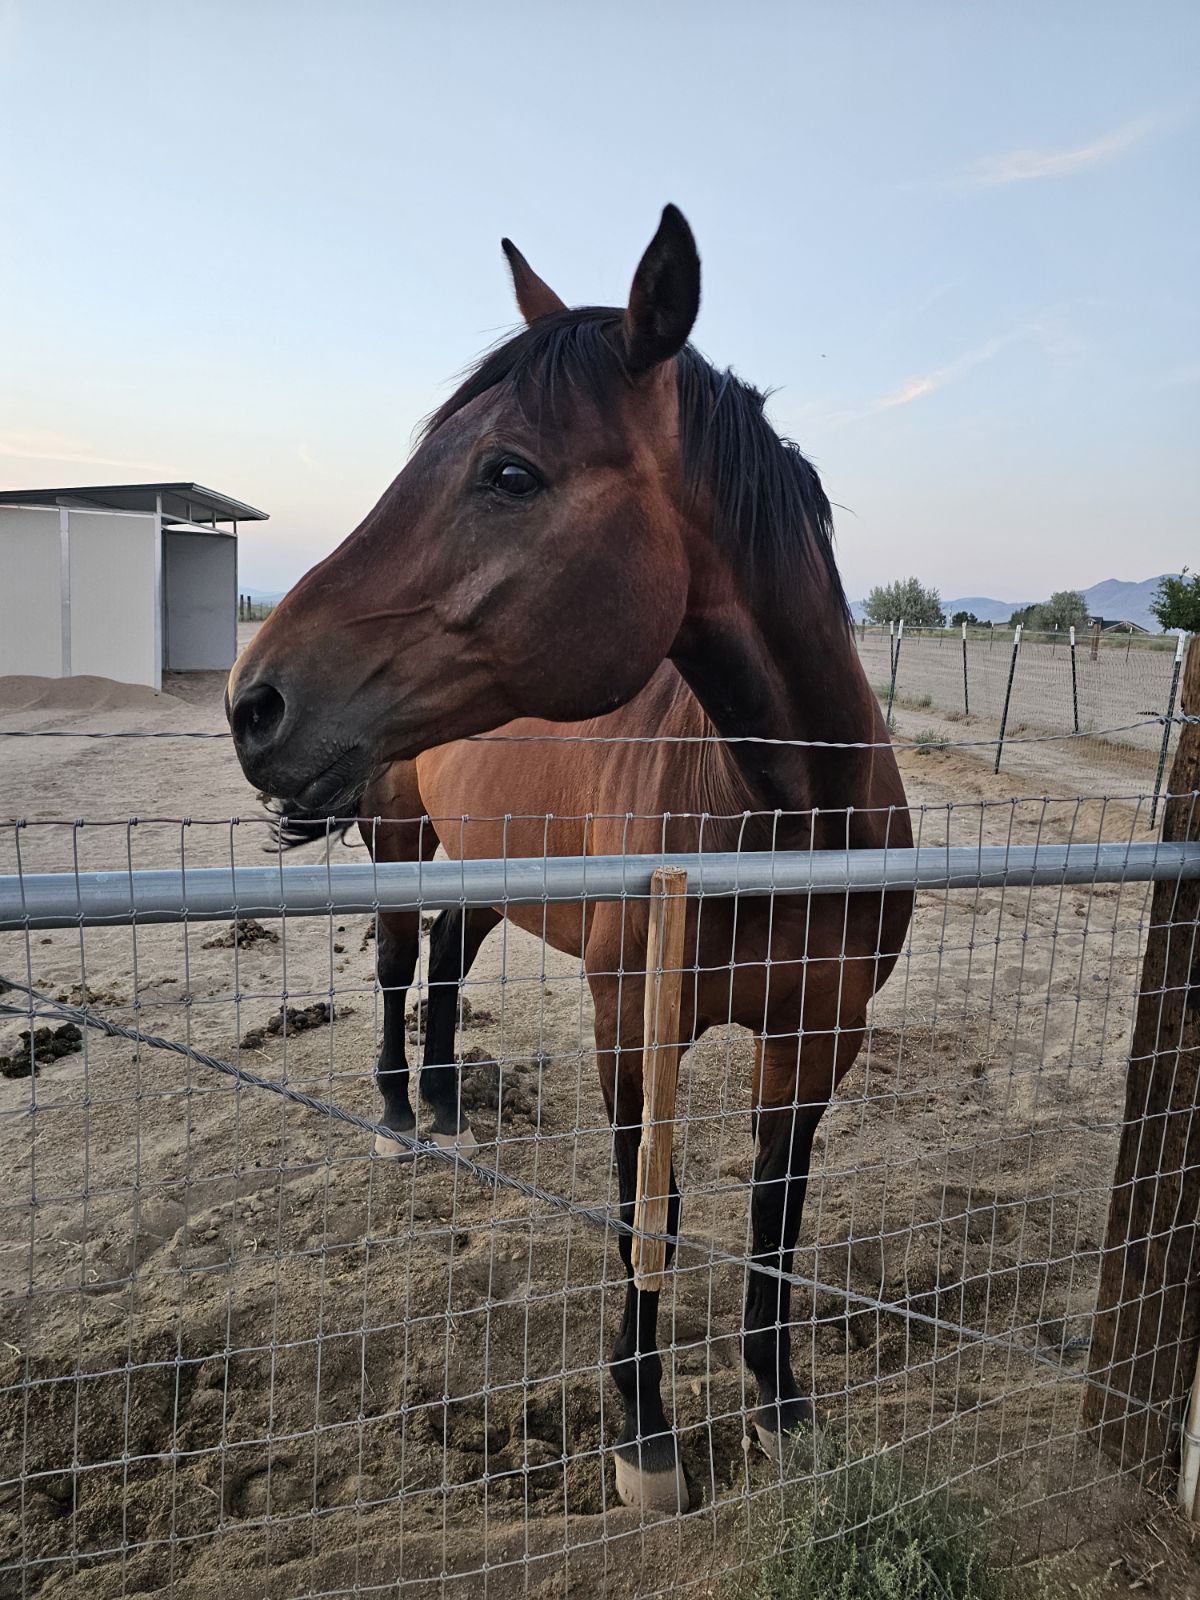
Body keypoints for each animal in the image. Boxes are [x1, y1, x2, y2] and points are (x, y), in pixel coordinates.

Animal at [227, 206, 913, 1513]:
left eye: (508, 471)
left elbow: (776, 1207)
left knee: (446, 966)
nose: (255, 700)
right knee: (397, 970)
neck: (782, 815)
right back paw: (400, 1114)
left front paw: (780, 1401)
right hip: (404, 847)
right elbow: (654, 1206)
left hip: (486, 873)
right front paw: (645, 1433)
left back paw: (452, 1107)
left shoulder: (819, 1033)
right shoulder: (632, 1020)